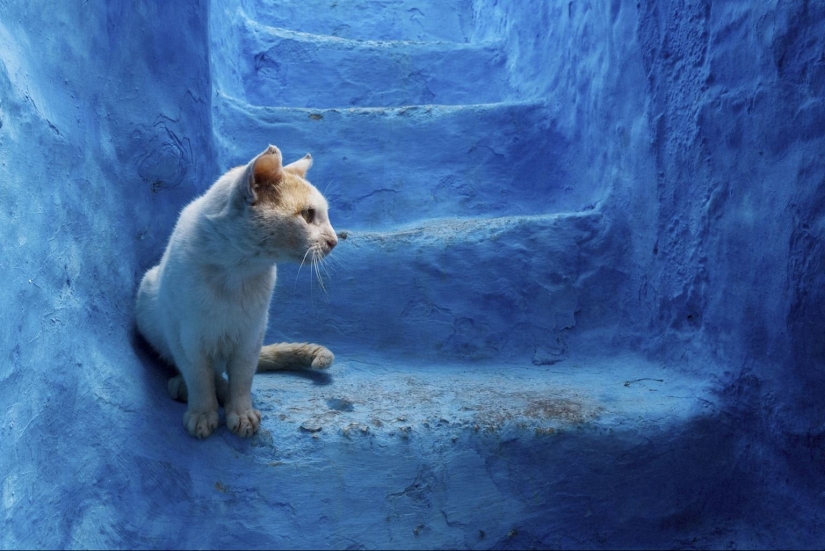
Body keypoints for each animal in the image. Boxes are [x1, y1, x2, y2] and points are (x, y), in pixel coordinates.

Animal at [135, 146, 338, 440]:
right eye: (308, 215)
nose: (334, 240)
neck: (237, 269)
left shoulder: (251, 335)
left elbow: (242, 379)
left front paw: (240, 413)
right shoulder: (187, 337)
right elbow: (199, 378)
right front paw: (203, 413)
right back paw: (187, 387)